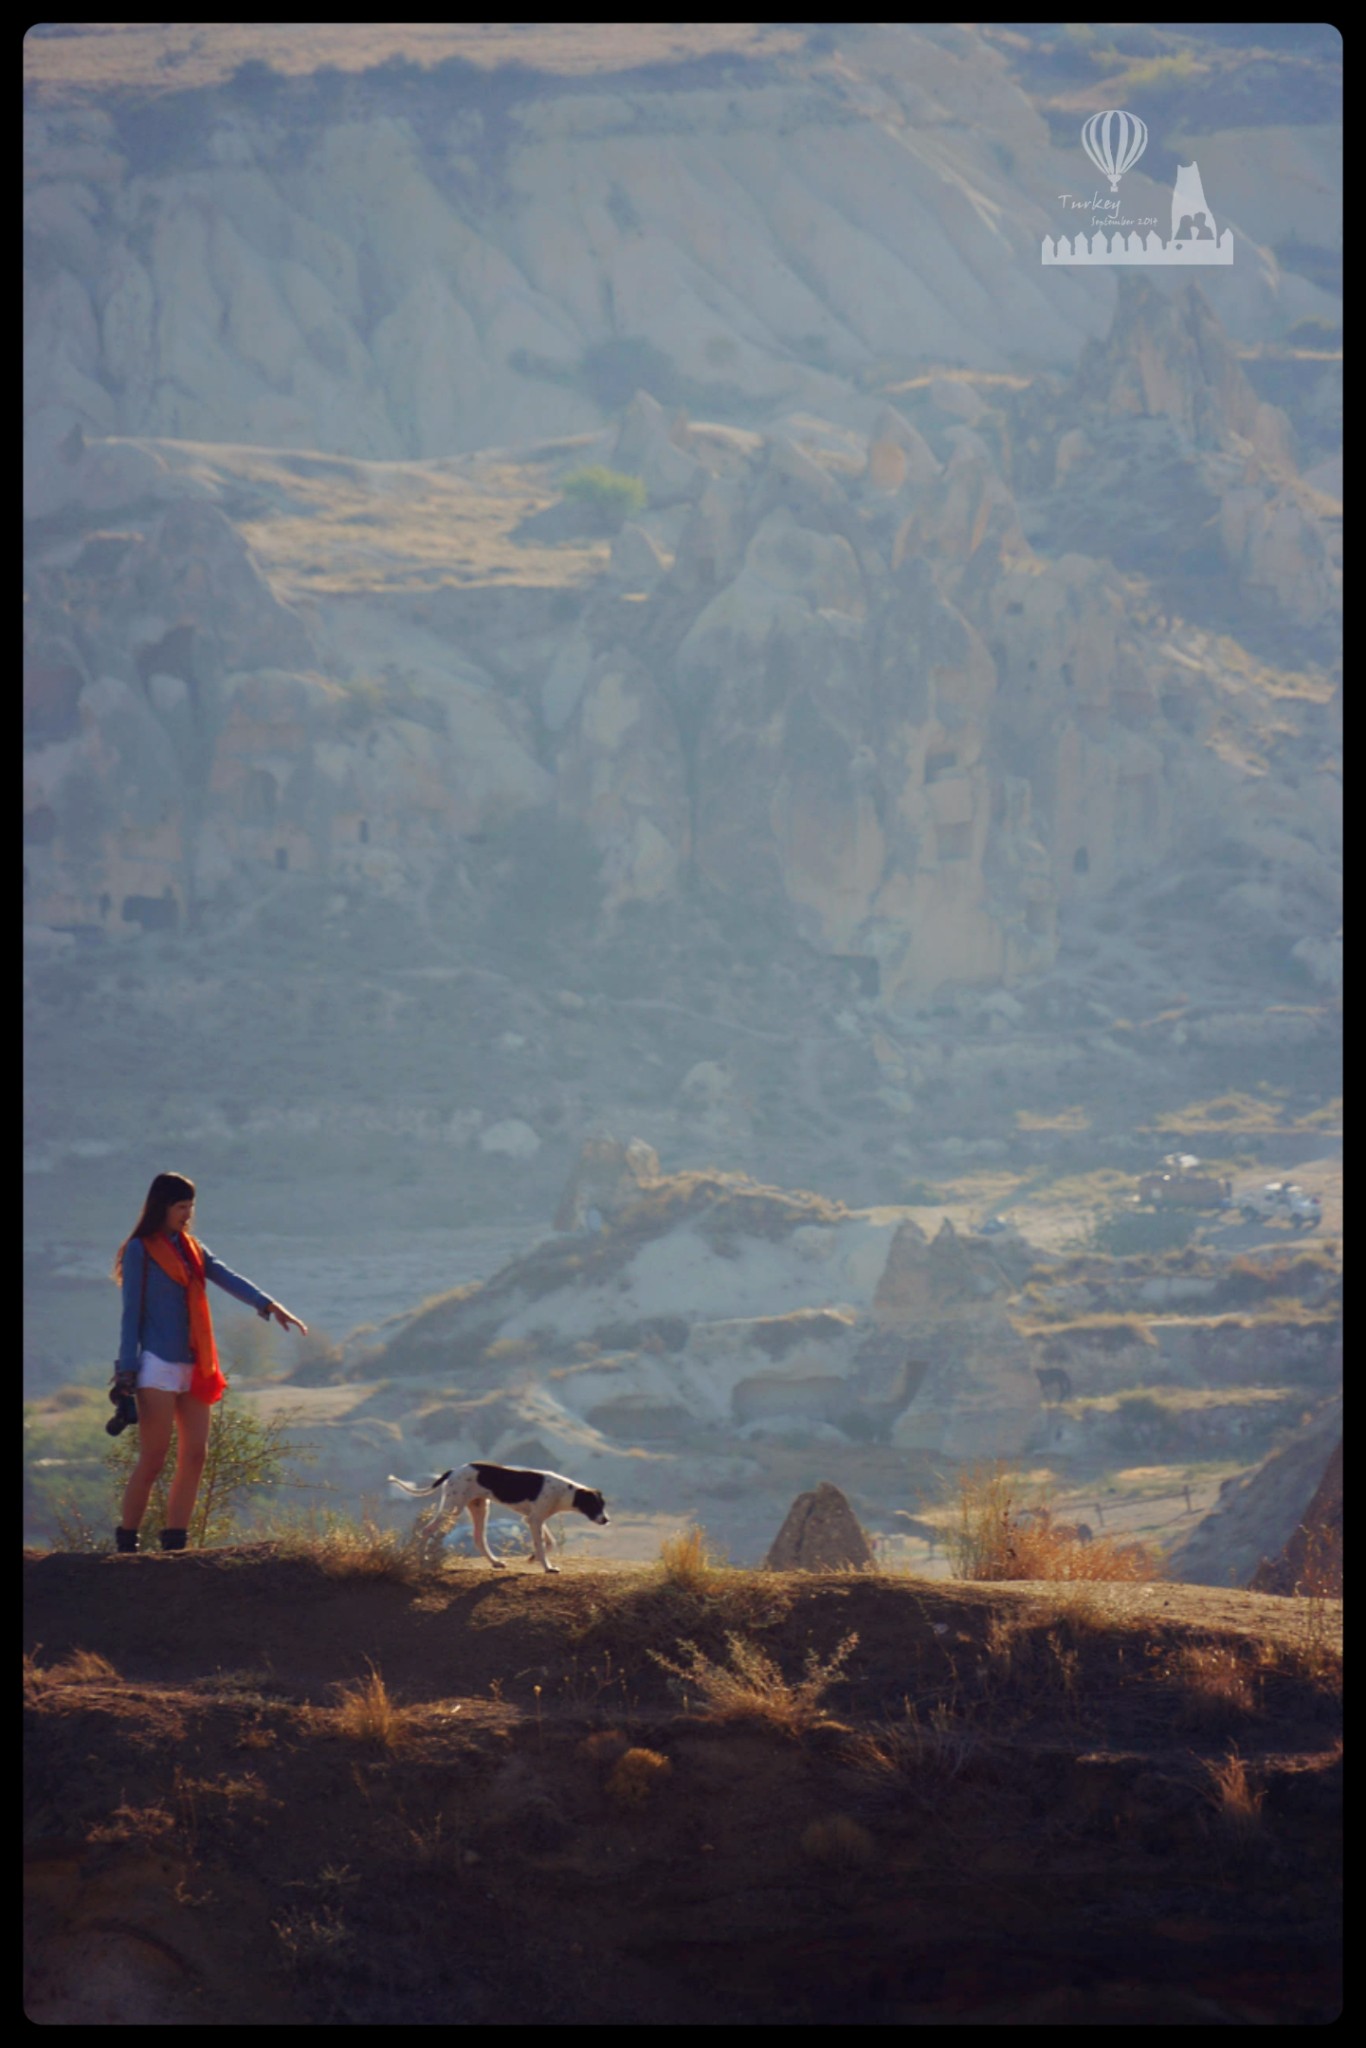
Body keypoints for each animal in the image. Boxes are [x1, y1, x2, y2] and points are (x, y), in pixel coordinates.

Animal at [389, 1461, 609, 1572]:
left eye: (603, 1505)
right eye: (594, 1505)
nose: (606, 1520)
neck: (563, 1491)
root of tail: (453, 1470)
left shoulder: (533, 1519)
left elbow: (549, 1542)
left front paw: (533, 1557)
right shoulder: (535, 1520)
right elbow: (542, 1545)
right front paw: (547, 1567)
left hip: (479, 1508)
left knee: (478, 1539)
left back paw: (495, 1563)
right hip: (453, 1508)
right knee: (428, 1530)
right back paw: (424, 1559)